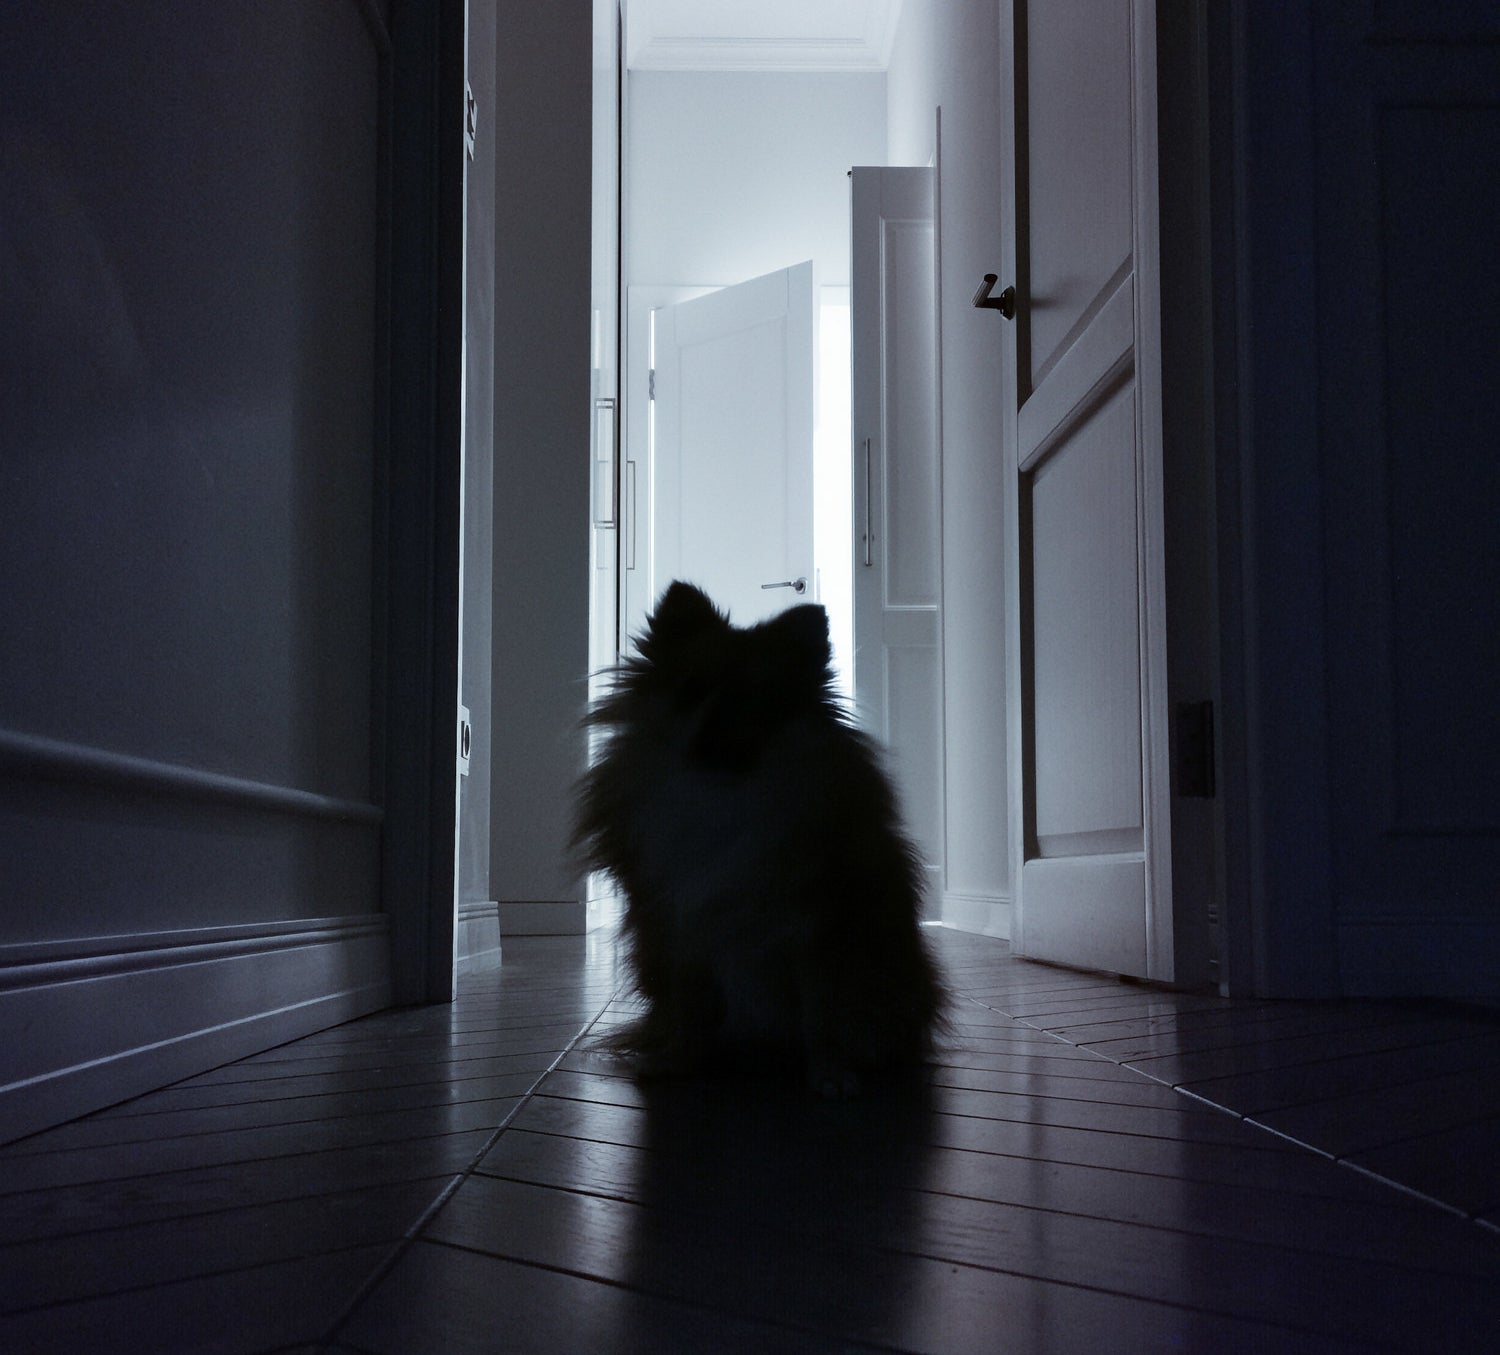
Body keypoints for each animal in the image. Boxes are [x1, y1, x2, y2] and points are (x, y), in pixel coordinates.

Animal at [567, 576, 942, 1098]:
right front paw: (678, 1061)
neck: (725, 799)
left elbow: (823, 1013)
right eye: (691, 690)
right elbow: (689, 1007)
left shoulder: (821, 932)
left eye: (758, 702)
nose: (712, 725)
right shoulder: (679, 928)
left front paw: (831, 1075)